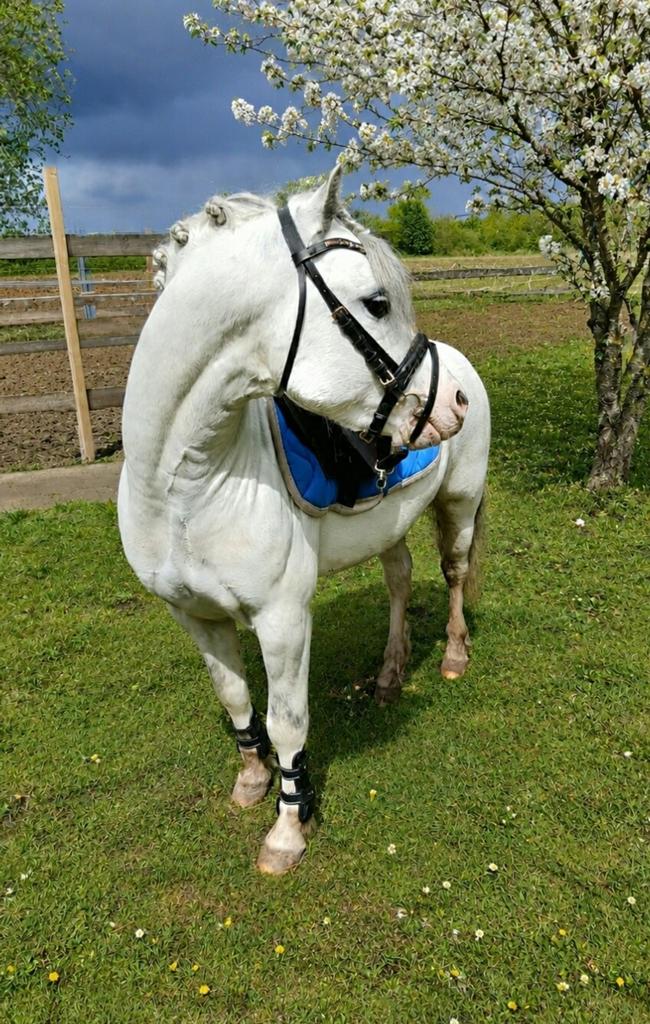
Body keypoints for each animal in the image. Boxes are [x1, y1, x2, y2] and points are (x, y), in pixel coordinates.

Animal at [118, 167, 490, 875]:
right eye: (377, 302)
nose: (450, 404)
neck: (186, 490)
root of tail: (462, 362)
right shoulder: (196, 616)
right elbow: (238, 700)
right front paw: (250, 781)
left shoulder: (284, 619)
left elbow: (288, 721)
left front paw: (288, 827)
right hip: (391, 525)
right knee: (400, 581)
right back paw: (389, 674)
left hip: (458, 505)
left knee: (455, 574)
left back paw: (454, 656)